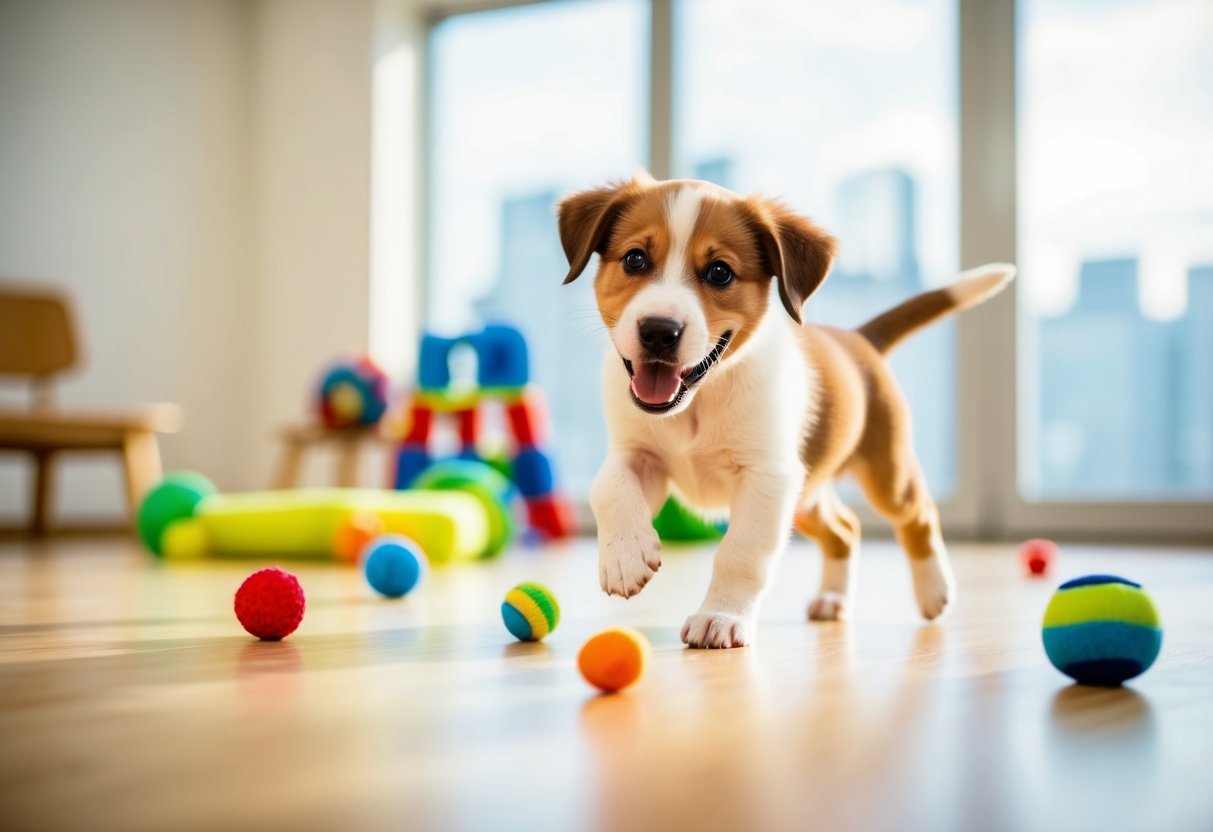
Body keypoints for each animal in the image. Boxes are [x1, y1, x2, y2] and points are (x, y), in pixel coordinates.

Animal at [557, 175, 1014, 650]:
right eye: (635, 259)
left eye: (719, 272)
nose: (659, 331)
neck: (698, 401)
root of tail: (858, 339)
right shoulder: (637, 455)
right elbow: (608, 487)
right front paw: (625, 554)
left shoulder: (768, 478)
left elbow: (741, 553)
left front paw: (720, 616)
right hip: (806, 495)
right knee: (845, 530)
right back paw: (832, 599)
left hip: (885, 474)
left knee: (918, 515)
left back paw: (934, 590)